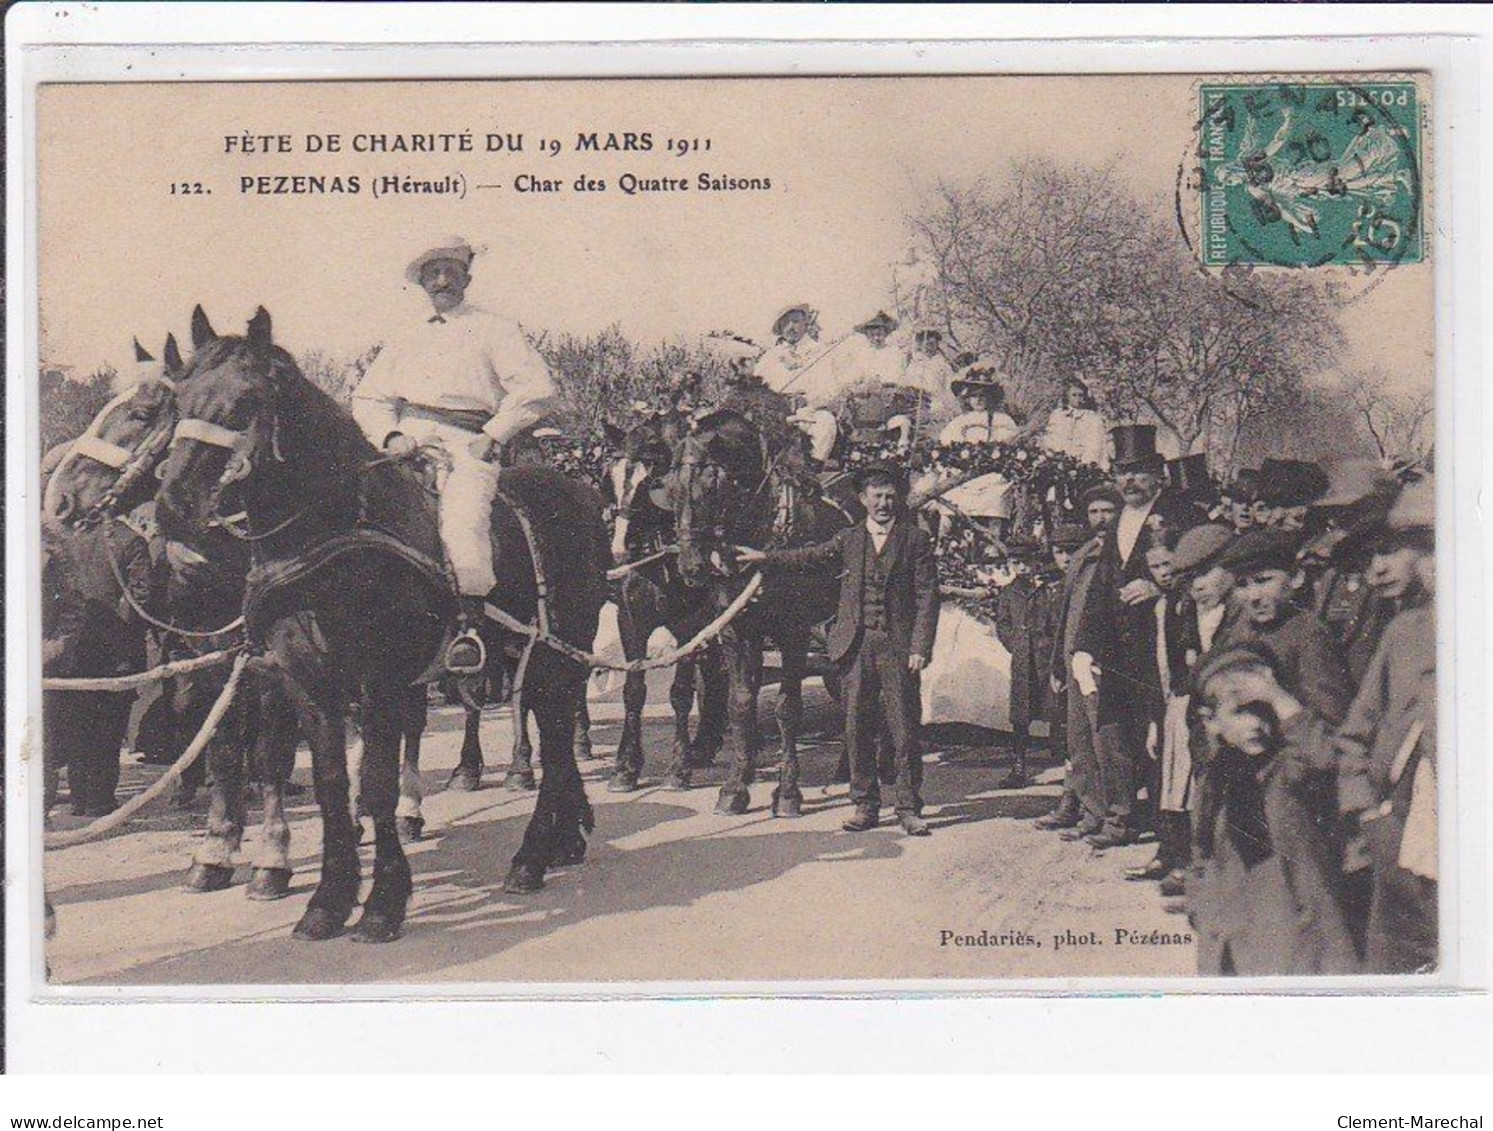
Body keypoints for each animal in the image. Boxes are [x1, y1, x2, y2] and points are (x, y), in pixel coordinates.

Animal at [157, 305, 606, 942]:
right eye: (177, 399)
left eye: (246, 401)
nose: (173, 507)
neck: (333, 530)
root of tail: (582, 495)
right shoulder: (309, 682)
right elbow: (330, 785)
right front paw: (328, 899)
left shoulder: (382, 681)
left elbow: (375, 785)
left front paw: (383, 903)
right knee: (558, 740)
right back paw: (561, 840)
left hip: (556, 655)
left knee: (561, 736)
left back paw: (531, 856)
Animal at [600, 411, 728, 793]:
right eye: (610, 477)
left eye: (652, 480)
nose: (619, 549)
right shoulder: (630, 620)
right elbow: (633, 690)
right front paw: (625, 767)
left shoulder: (691, 624)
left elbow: (681, 692)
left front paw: (678, 767)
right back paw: (706, 743)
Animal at [668, 402, 848, 817]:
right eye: (671, 489)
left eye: (712, 485)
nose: (690, 566)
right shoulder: (736, 630)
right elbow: (740, 704)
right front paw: (736, 786)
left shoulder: (793, 631)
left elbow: (787, 707)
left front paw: (788, 792)